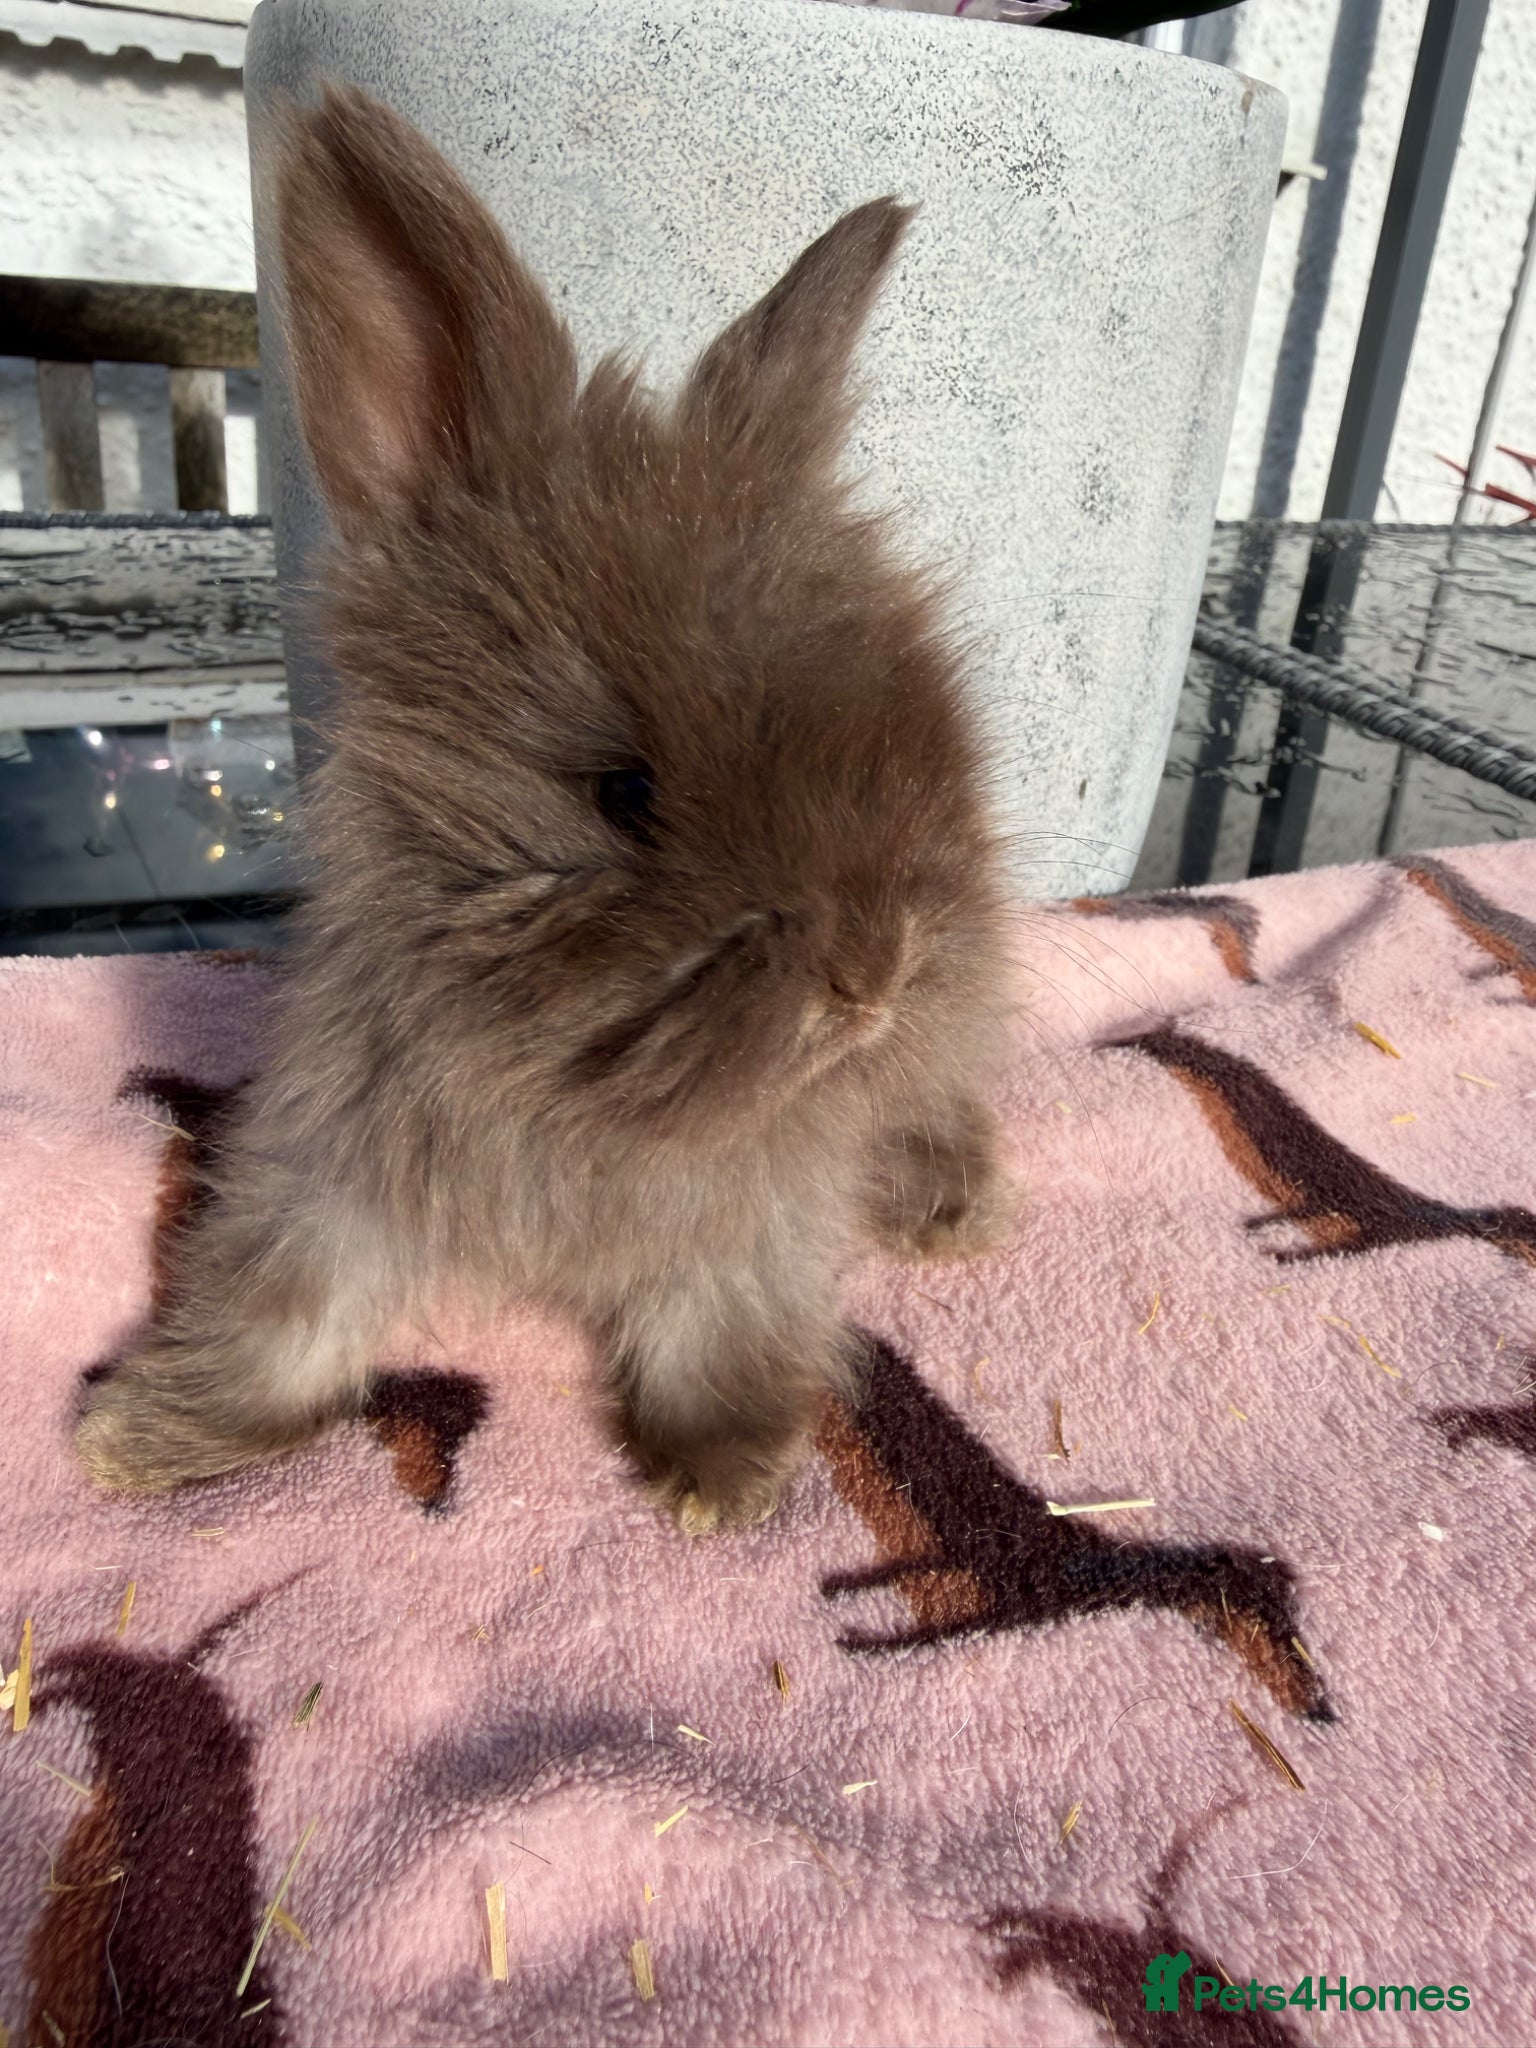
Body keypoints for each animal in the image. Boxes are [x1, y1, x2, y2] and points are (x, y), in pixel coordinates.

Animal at [76, 84, 1018, 1532]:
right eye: (620, 793)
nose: (873, 975)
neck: (554, 1082)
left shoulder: (753, 1214)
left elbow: (721, 1321)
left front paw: (720, 1474)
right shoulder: (325, 1176)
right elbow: (280, 1322)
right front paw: (138, 1439)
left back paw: (951, 1204)